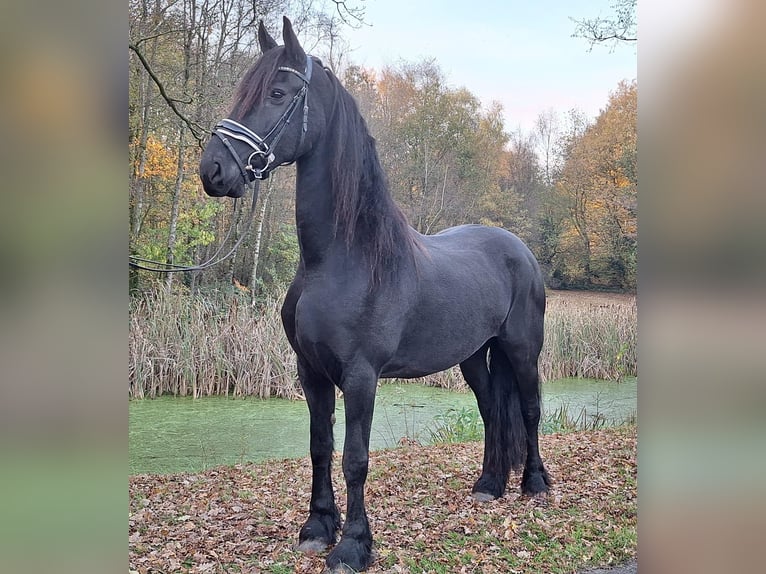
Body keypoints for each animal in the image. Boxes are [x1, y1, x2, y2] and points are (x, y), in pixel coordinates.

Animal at [201, 15, 548, 572]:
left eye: (277, 93)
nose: (213, 170)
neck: (343, 259)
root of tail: (518, 248)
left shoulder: (361, 377)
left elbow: (355, 458)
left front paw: (353, 546)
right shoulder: (311, 372)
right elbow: (320, 447)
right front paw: (318, 528)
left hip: (521, 348)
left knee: (531, 409)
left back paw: (535, 483)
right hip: (474, 356)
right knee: (494, 412)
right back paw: (489, 485)